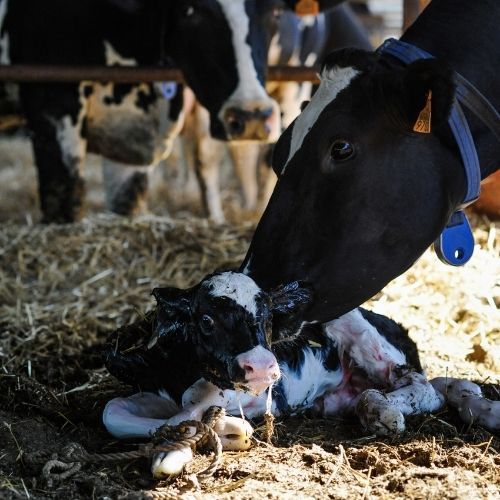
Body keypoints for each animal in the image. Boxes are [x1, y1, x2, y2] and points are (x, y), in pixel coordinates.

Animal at [0, 0, 286, 223]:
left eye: (275, 11)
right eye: (189, 10)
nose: (252, 116)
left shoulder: (131, 137)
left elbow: (127, 203)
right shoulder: (52, 105)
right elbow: (63, 202)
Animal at [100, 272, 500, 478]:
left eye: (266, 317)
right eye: (206, 320)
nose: (263, 365)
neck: (179, 373)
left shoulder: (236, 389)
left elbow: (193, 410)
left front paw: (184, 448)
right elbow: (112, 413)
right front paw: (220, 430)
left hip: (355, 326)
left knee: (422, 388)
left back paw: (382, 411)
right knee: (443, 385)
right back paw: (478, 405)